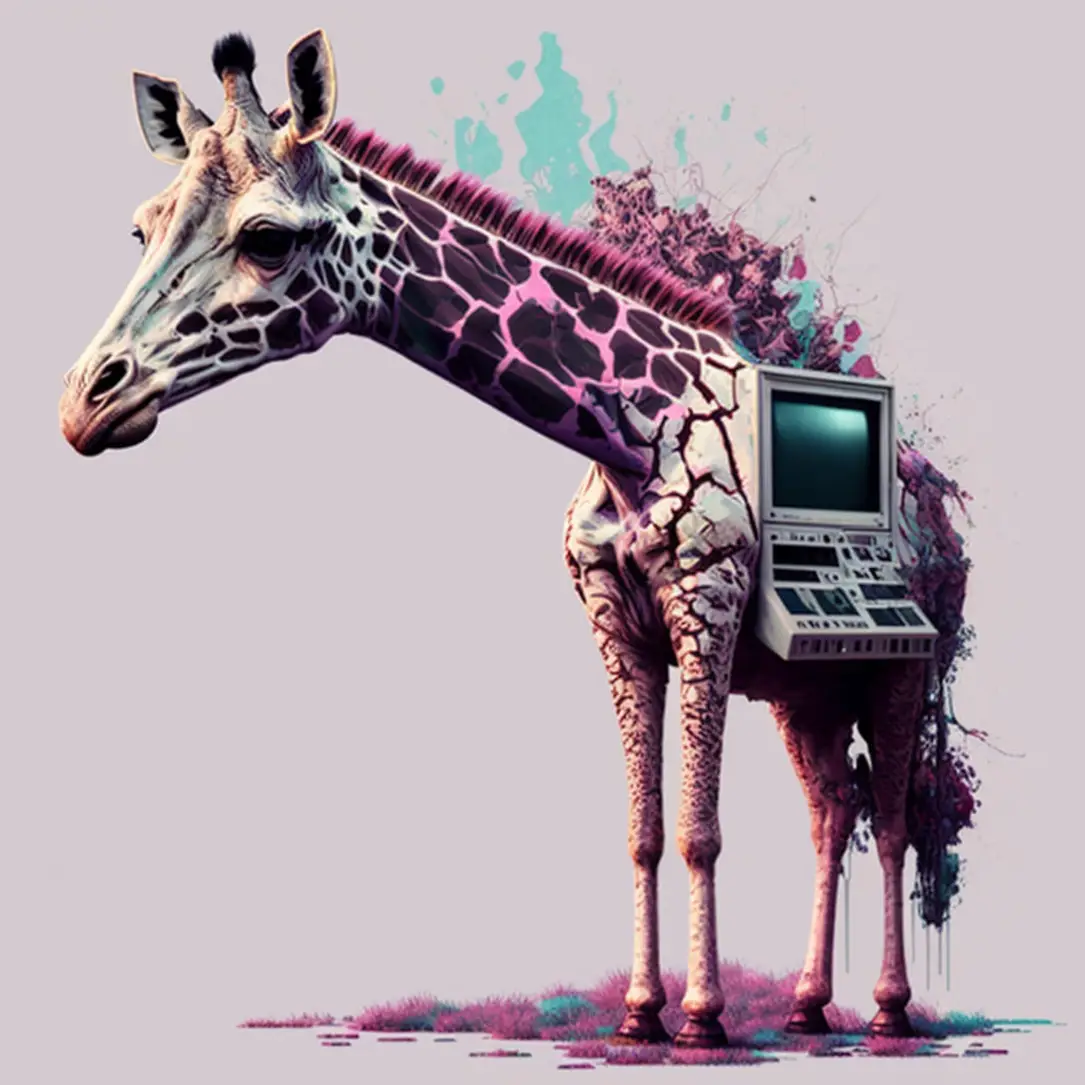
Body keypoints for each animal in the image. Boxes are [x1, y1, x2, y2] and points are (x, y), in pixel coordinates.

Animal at [58, 30, 925, 1045]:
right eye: (141, 228)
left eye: (267, 238)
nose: (85, 401)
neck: (631, 437)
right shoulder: (616, 623)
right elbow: (643, 831)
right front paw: (640, 1013)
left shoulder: (704, 604)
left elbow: (701, 831)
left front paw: (702, 1019)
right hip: (803, 685)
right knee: (830, 811)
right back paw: (805, 1004)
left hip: (901, 661)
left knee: (892, 817)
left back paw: (887, 1010)